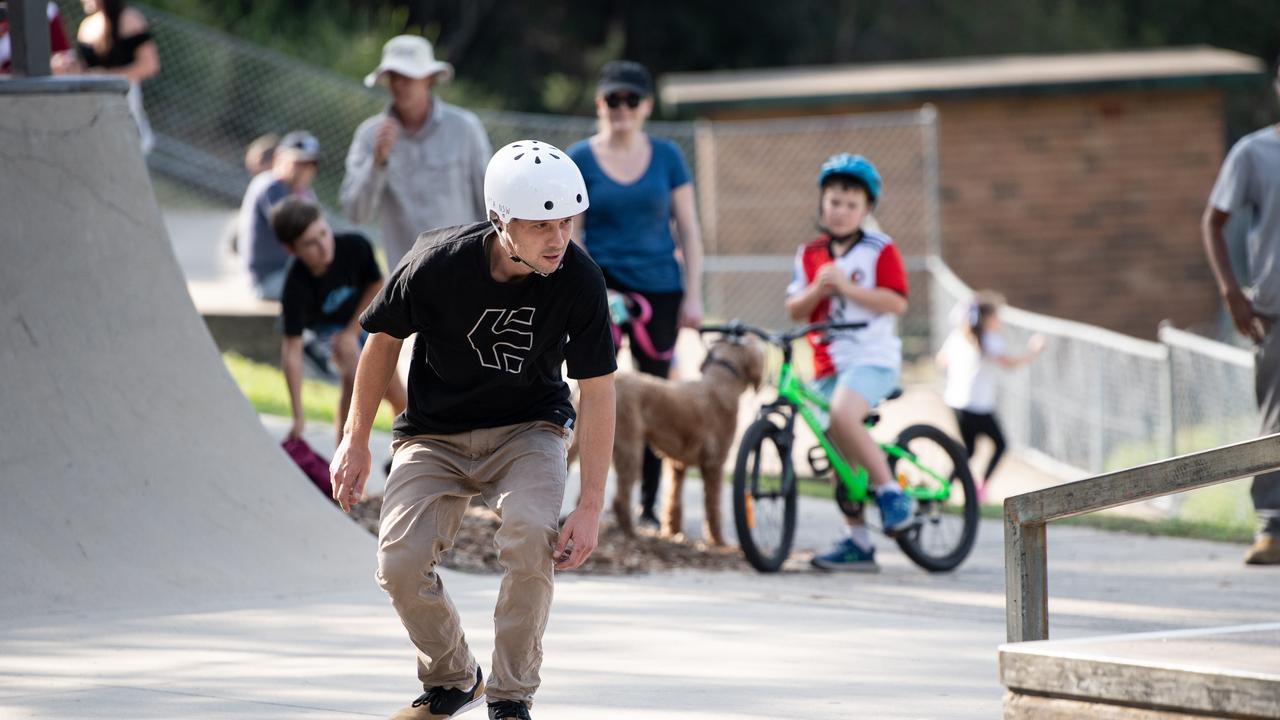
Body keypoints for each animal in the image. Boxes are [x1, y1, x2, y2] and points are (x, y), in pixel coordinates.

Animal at [570, 338, 757, 540]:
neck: (719, 385)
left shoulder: (677, 465)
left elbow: (673, 502)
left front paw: (673, 530)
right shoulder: (714, 465)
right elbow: (713, 508)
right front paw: (717, 540)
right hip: (629, 450)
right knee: (620, 499)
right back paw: (630, 532)